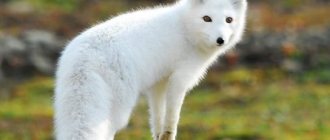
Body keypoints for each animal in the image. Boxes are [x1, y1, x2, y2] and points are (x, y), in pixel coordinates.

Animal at [54, 0, 248, 139]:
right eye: (207, 18)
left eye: (229, 20)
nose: (220, 40)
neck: (186, 28)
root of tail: (85, 56)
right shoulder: (180, 79)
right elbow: (172, 118)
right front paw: (169, 134)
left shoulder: (159, 83)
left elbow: (157, 118)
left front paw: (158, 135)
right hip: (119, 109)